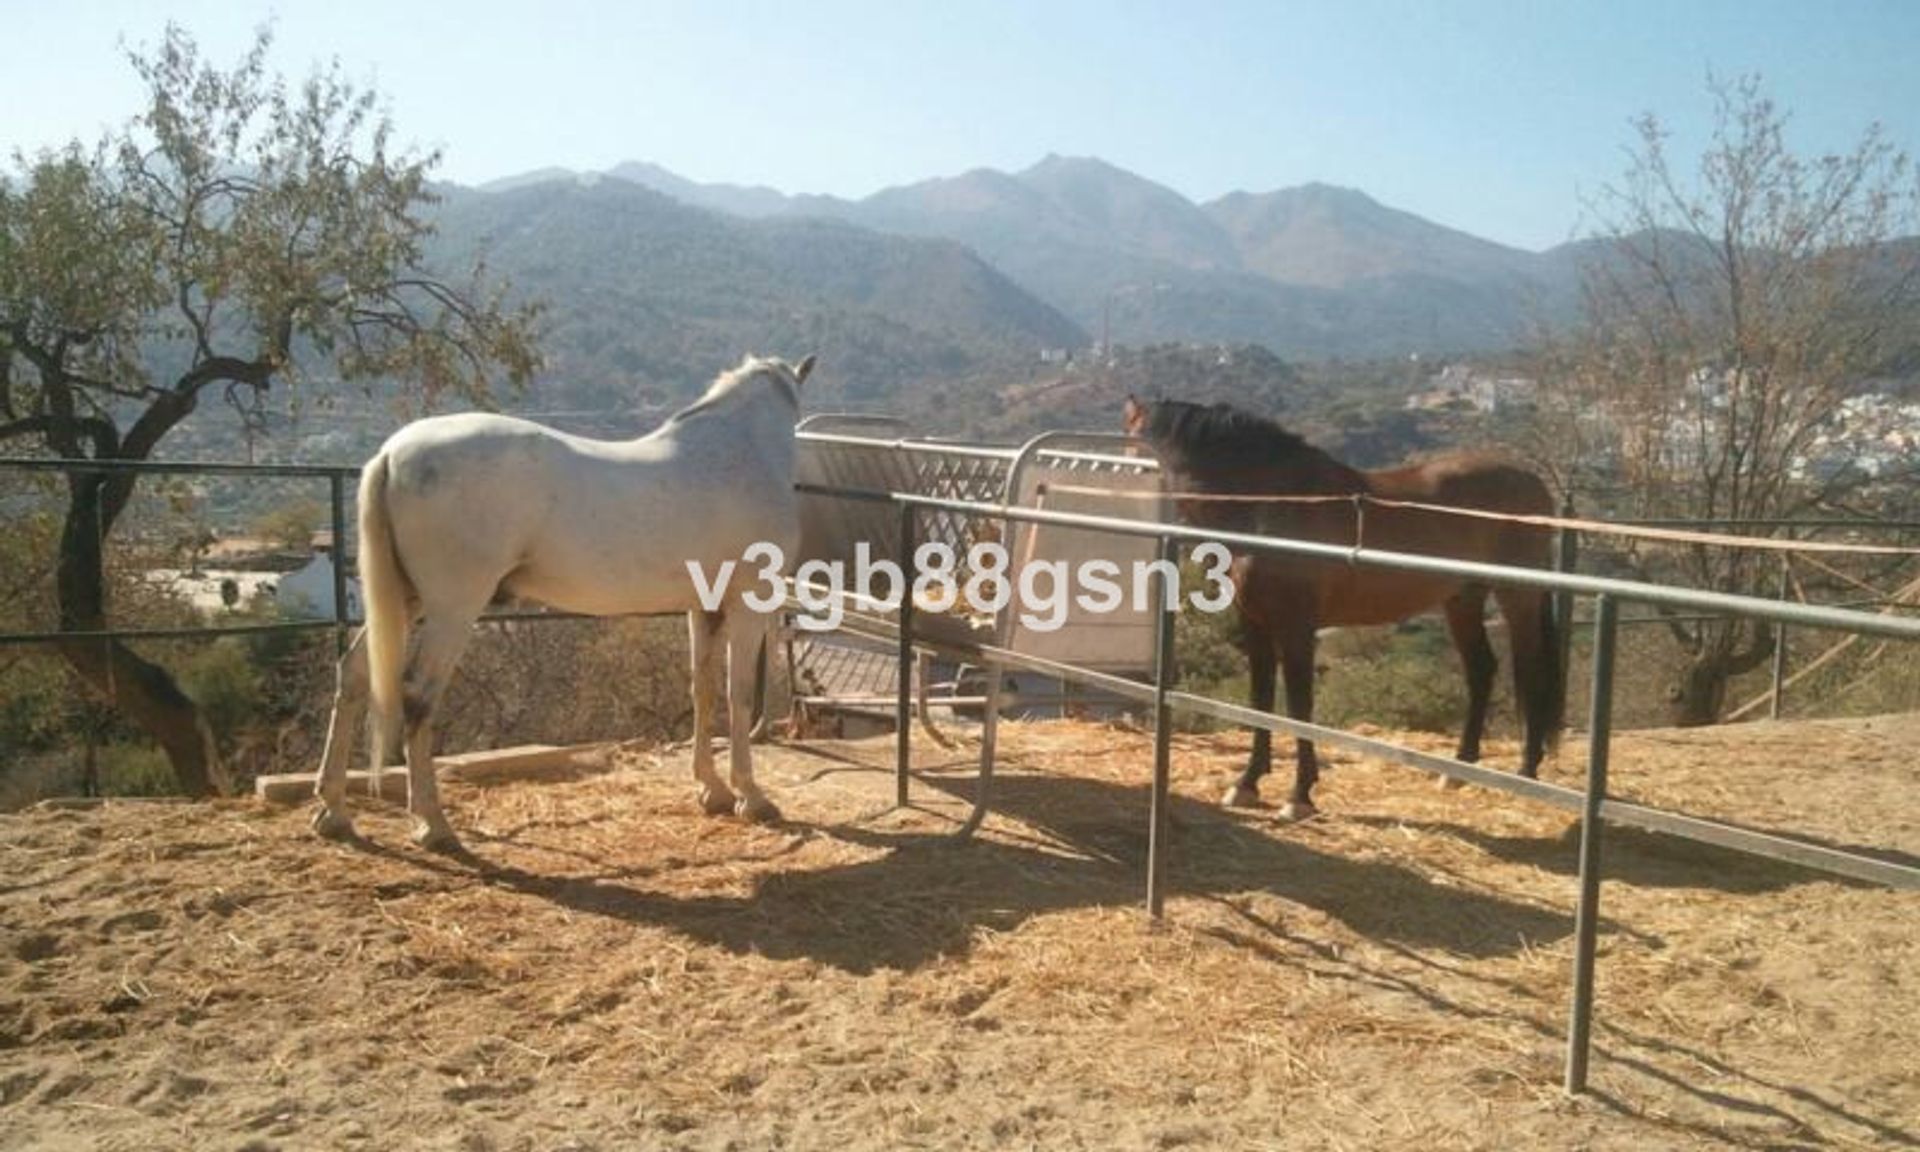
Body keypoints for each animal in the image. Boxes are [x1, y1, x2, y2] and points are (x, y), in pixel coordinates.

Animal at [309, 355, 817, 848]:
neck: (739, 454)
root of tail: (391, 454)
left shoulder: (703, 607)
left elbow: (703, 689)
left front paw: (712, 790)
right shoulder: (747, 604)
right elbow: (739, 694)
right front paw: (751, 796)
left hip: (406, 602)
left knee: (354, 675)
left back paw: (333, 810)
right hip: (452, 609)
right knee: (418, 695)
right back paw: (432, 824)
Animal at [1121, 395, 1559, 817]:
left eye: (1139, 455)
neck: (1270, 506)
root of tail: (1534, 482)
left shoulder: (1297, 627)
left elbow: (1299, 705)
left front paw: (1299, 794)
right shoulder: (1254, 622)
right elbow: (1260, 700)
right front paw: (1247, 783)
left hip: (1517, 597)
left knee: (1532, 670)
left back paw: (1526, 770)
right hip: (1462, 599)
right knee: (1481, 670)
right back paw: (1458, 769)